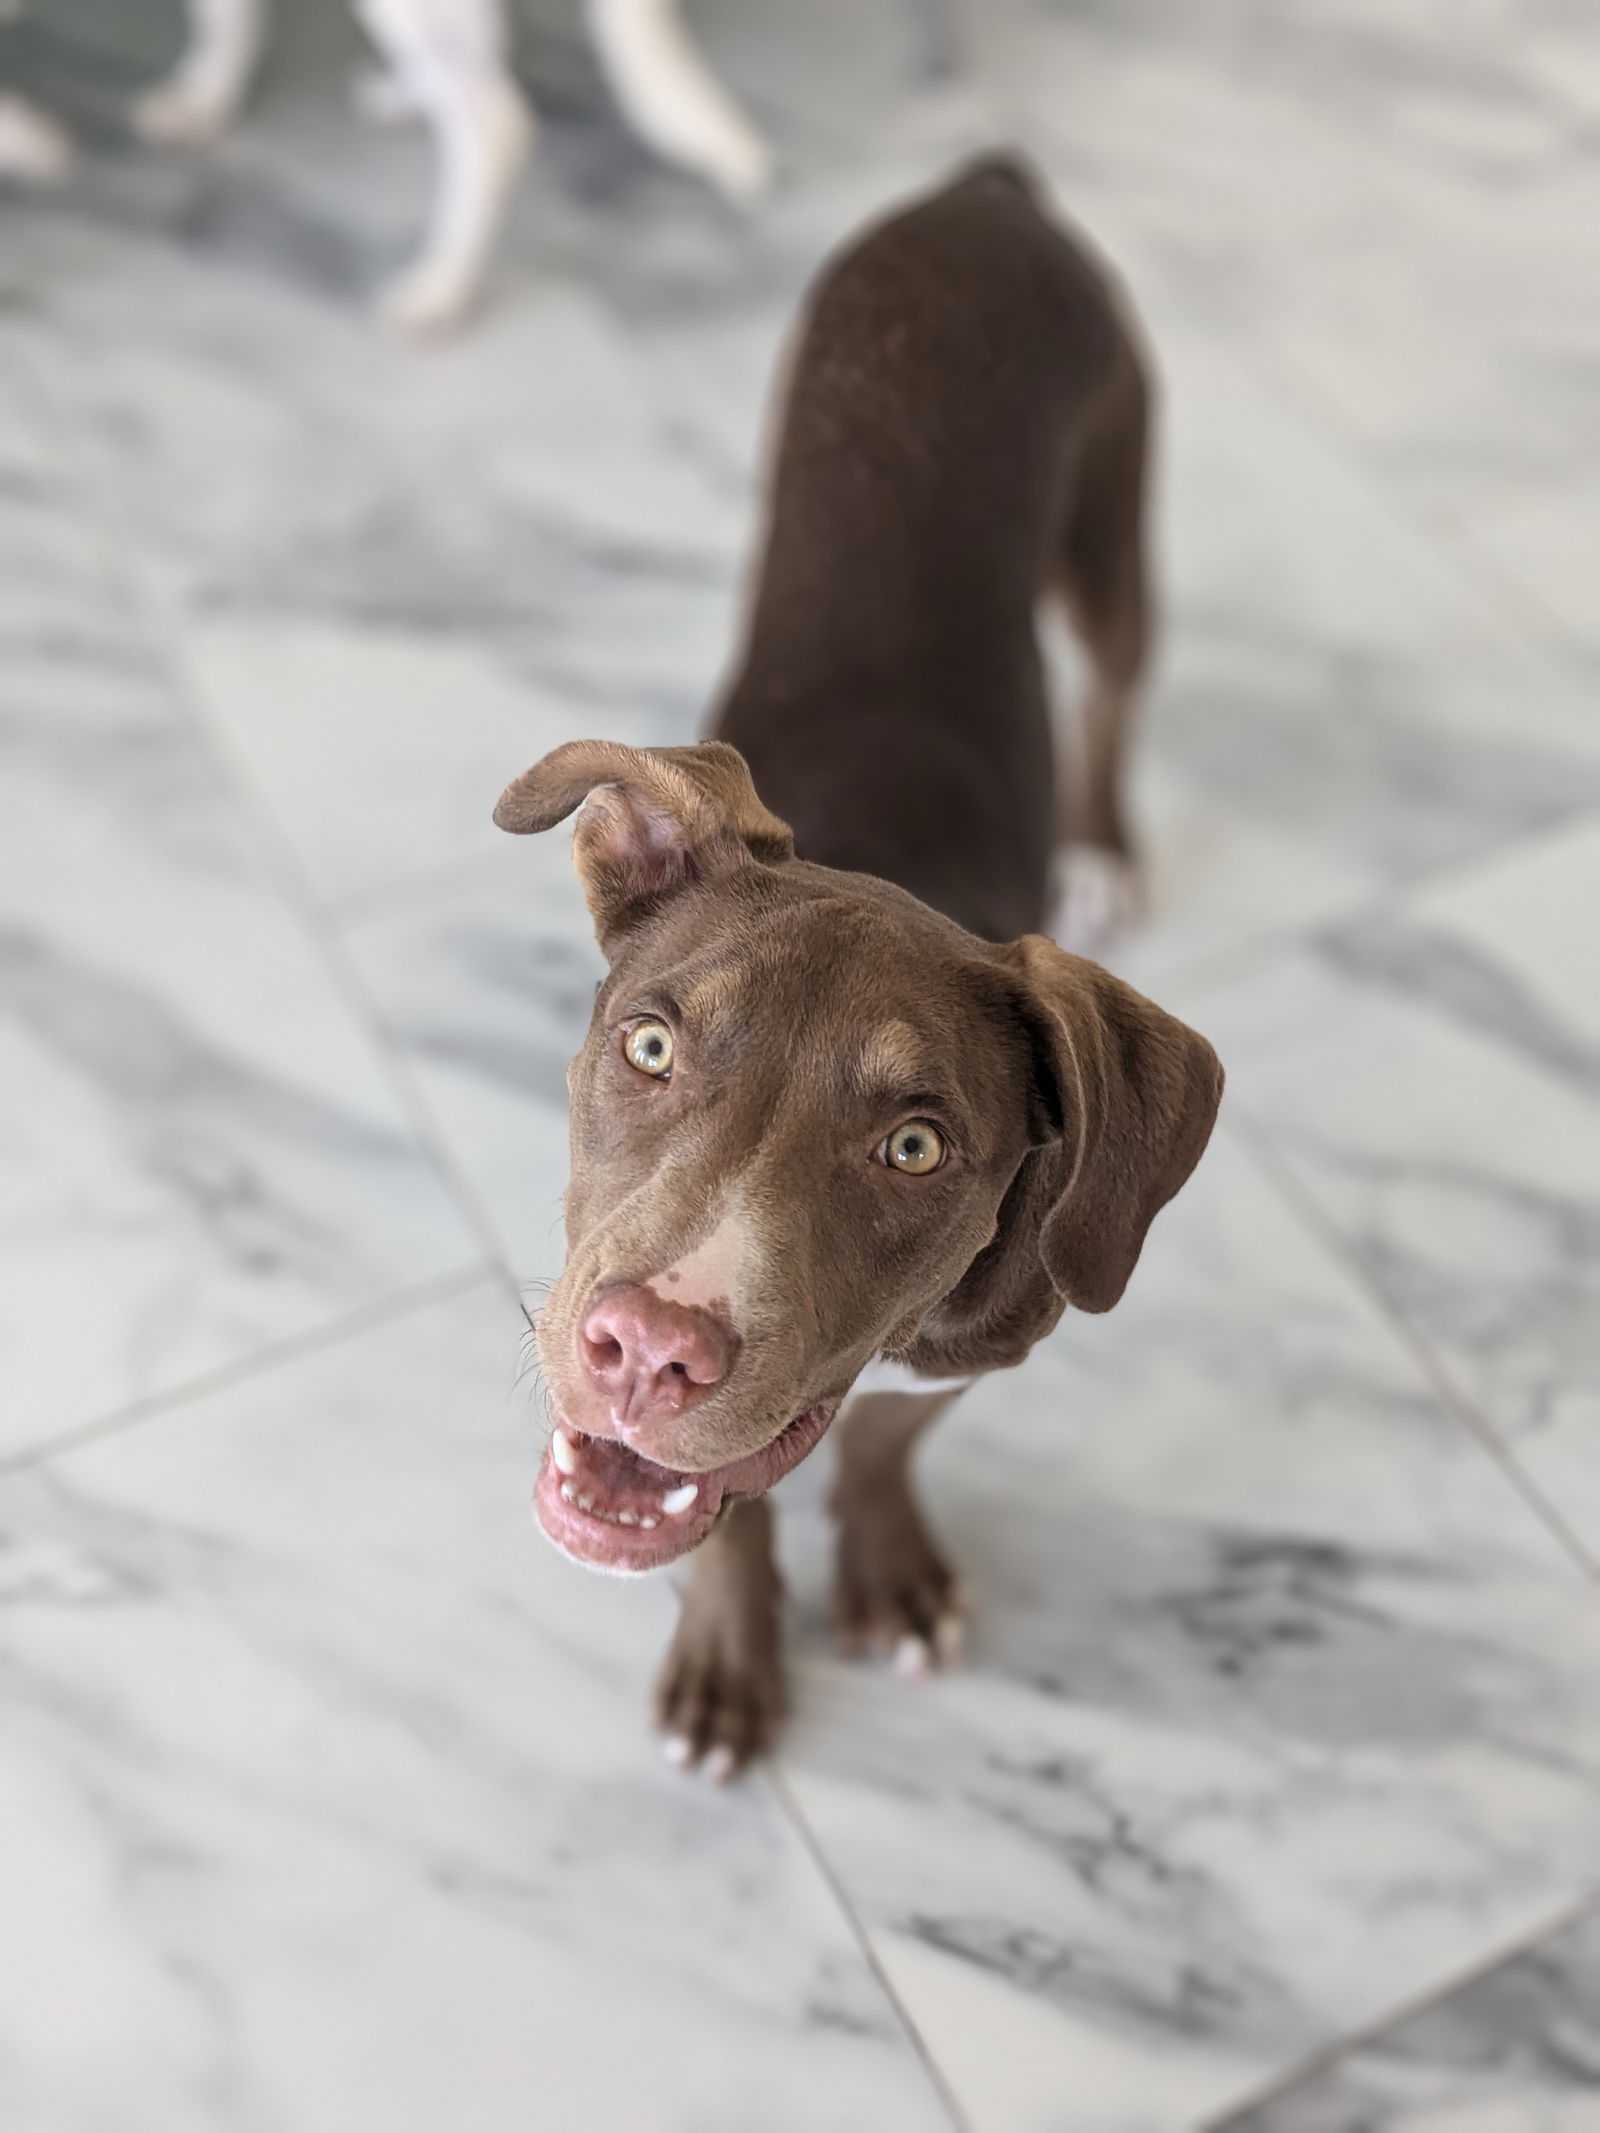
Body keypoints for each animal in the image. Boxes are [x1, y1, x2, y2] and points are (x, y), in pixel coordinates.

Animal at [494, 157, 1220, 1774]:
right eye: (650, 1046)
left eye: (914, 1146)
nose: (649, 1349)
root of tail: (986, 190)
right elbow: (720, 1516)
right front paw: (729, 1652)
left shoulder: (996, 1336)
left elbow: (882, 1429)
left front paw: (885, 1568)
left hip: (1114, 512)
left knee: (1117, 682)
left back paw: (1104, 844)